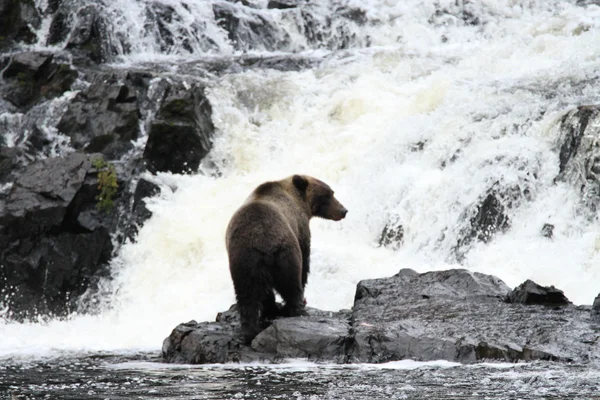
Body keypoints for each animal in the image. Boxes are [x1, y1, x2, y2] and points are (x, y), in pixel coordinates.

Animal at [225, 175, 346, 344]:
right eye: (328, 195)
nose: (343, 211)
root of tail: (264, 243)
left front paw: (270, 310)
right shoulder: (301, 227)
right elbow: (305, 261)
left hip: (245, 261)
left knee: (247, 295)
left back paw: (251, 330)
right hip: (285, 254)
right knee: (292, 284)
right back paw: (298, 311)